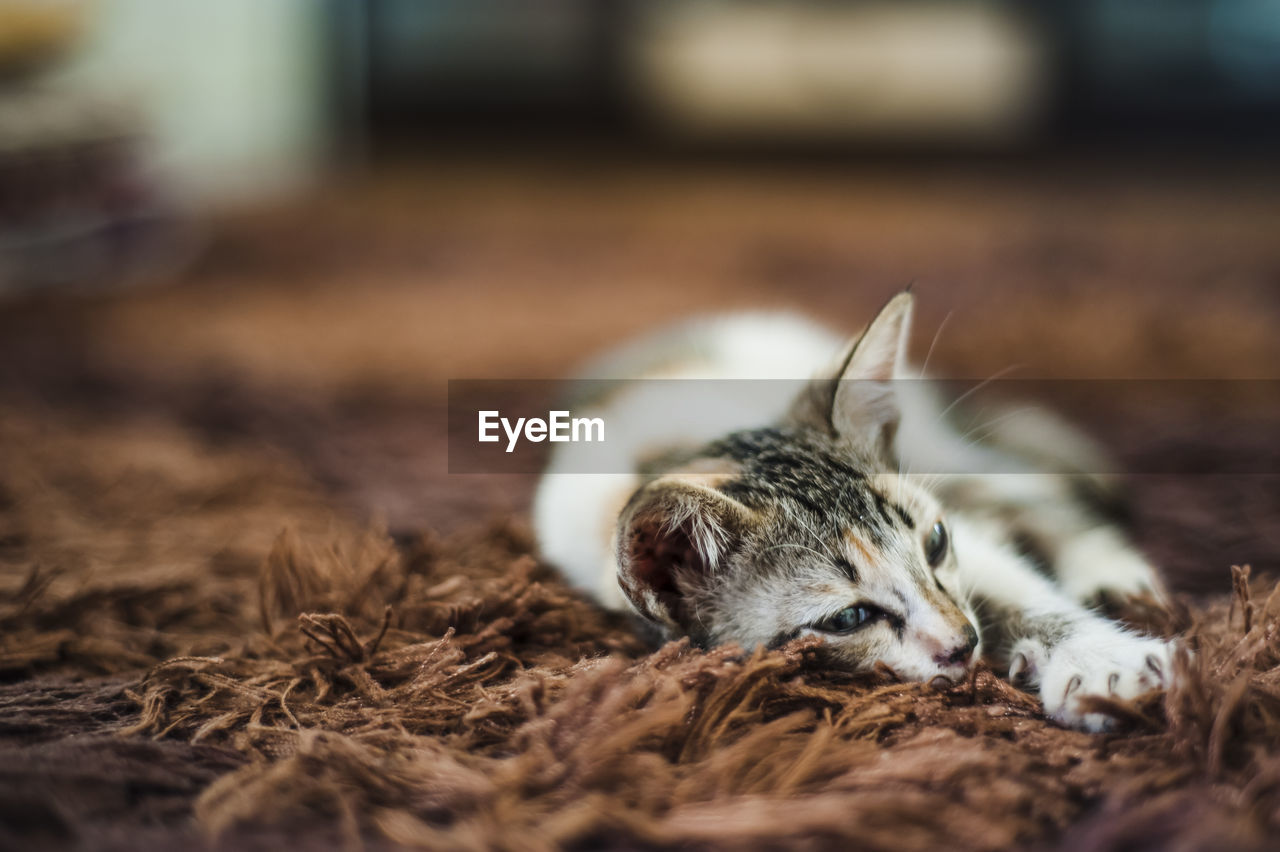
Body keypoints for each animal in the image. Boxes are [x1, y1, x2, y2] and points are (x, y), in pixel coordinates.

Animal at [532, 294, 1177, 731]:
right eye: (847, 619)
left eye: (936, 543)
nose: (965, 642)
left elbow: (1007, 574)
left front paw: (1101, 660)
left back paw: (1105, 568)